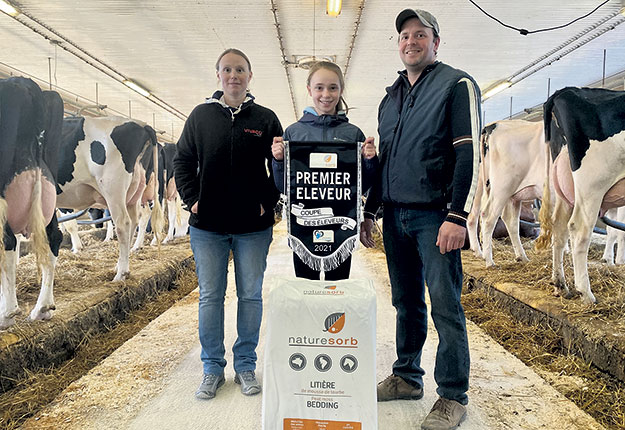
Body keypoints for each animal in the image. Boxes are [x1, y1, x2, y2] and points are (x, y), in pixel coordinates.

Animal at [56, 116, 163, 280]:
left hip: (113, 187)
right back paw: (122, 263)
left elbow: (70, 225)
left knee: (124, 223)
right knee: (135, 219)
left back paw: (121, 274)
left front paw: (77, 248)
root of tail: (142, 125)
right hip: (135, 191)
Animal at [466, 120, 544, 266]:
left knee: (475, 216)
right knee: (488, 216)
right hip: (502, 188)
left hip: (486, 187)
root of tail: (490, 126)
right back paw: (489, 260)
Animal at [532, 85, 624, 304]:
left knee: (559, 227)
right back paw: (586, 293)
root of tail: (565, 91)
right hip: (593, 183)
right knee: (579, 228)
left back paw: (560, 285)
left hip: (564, 187)